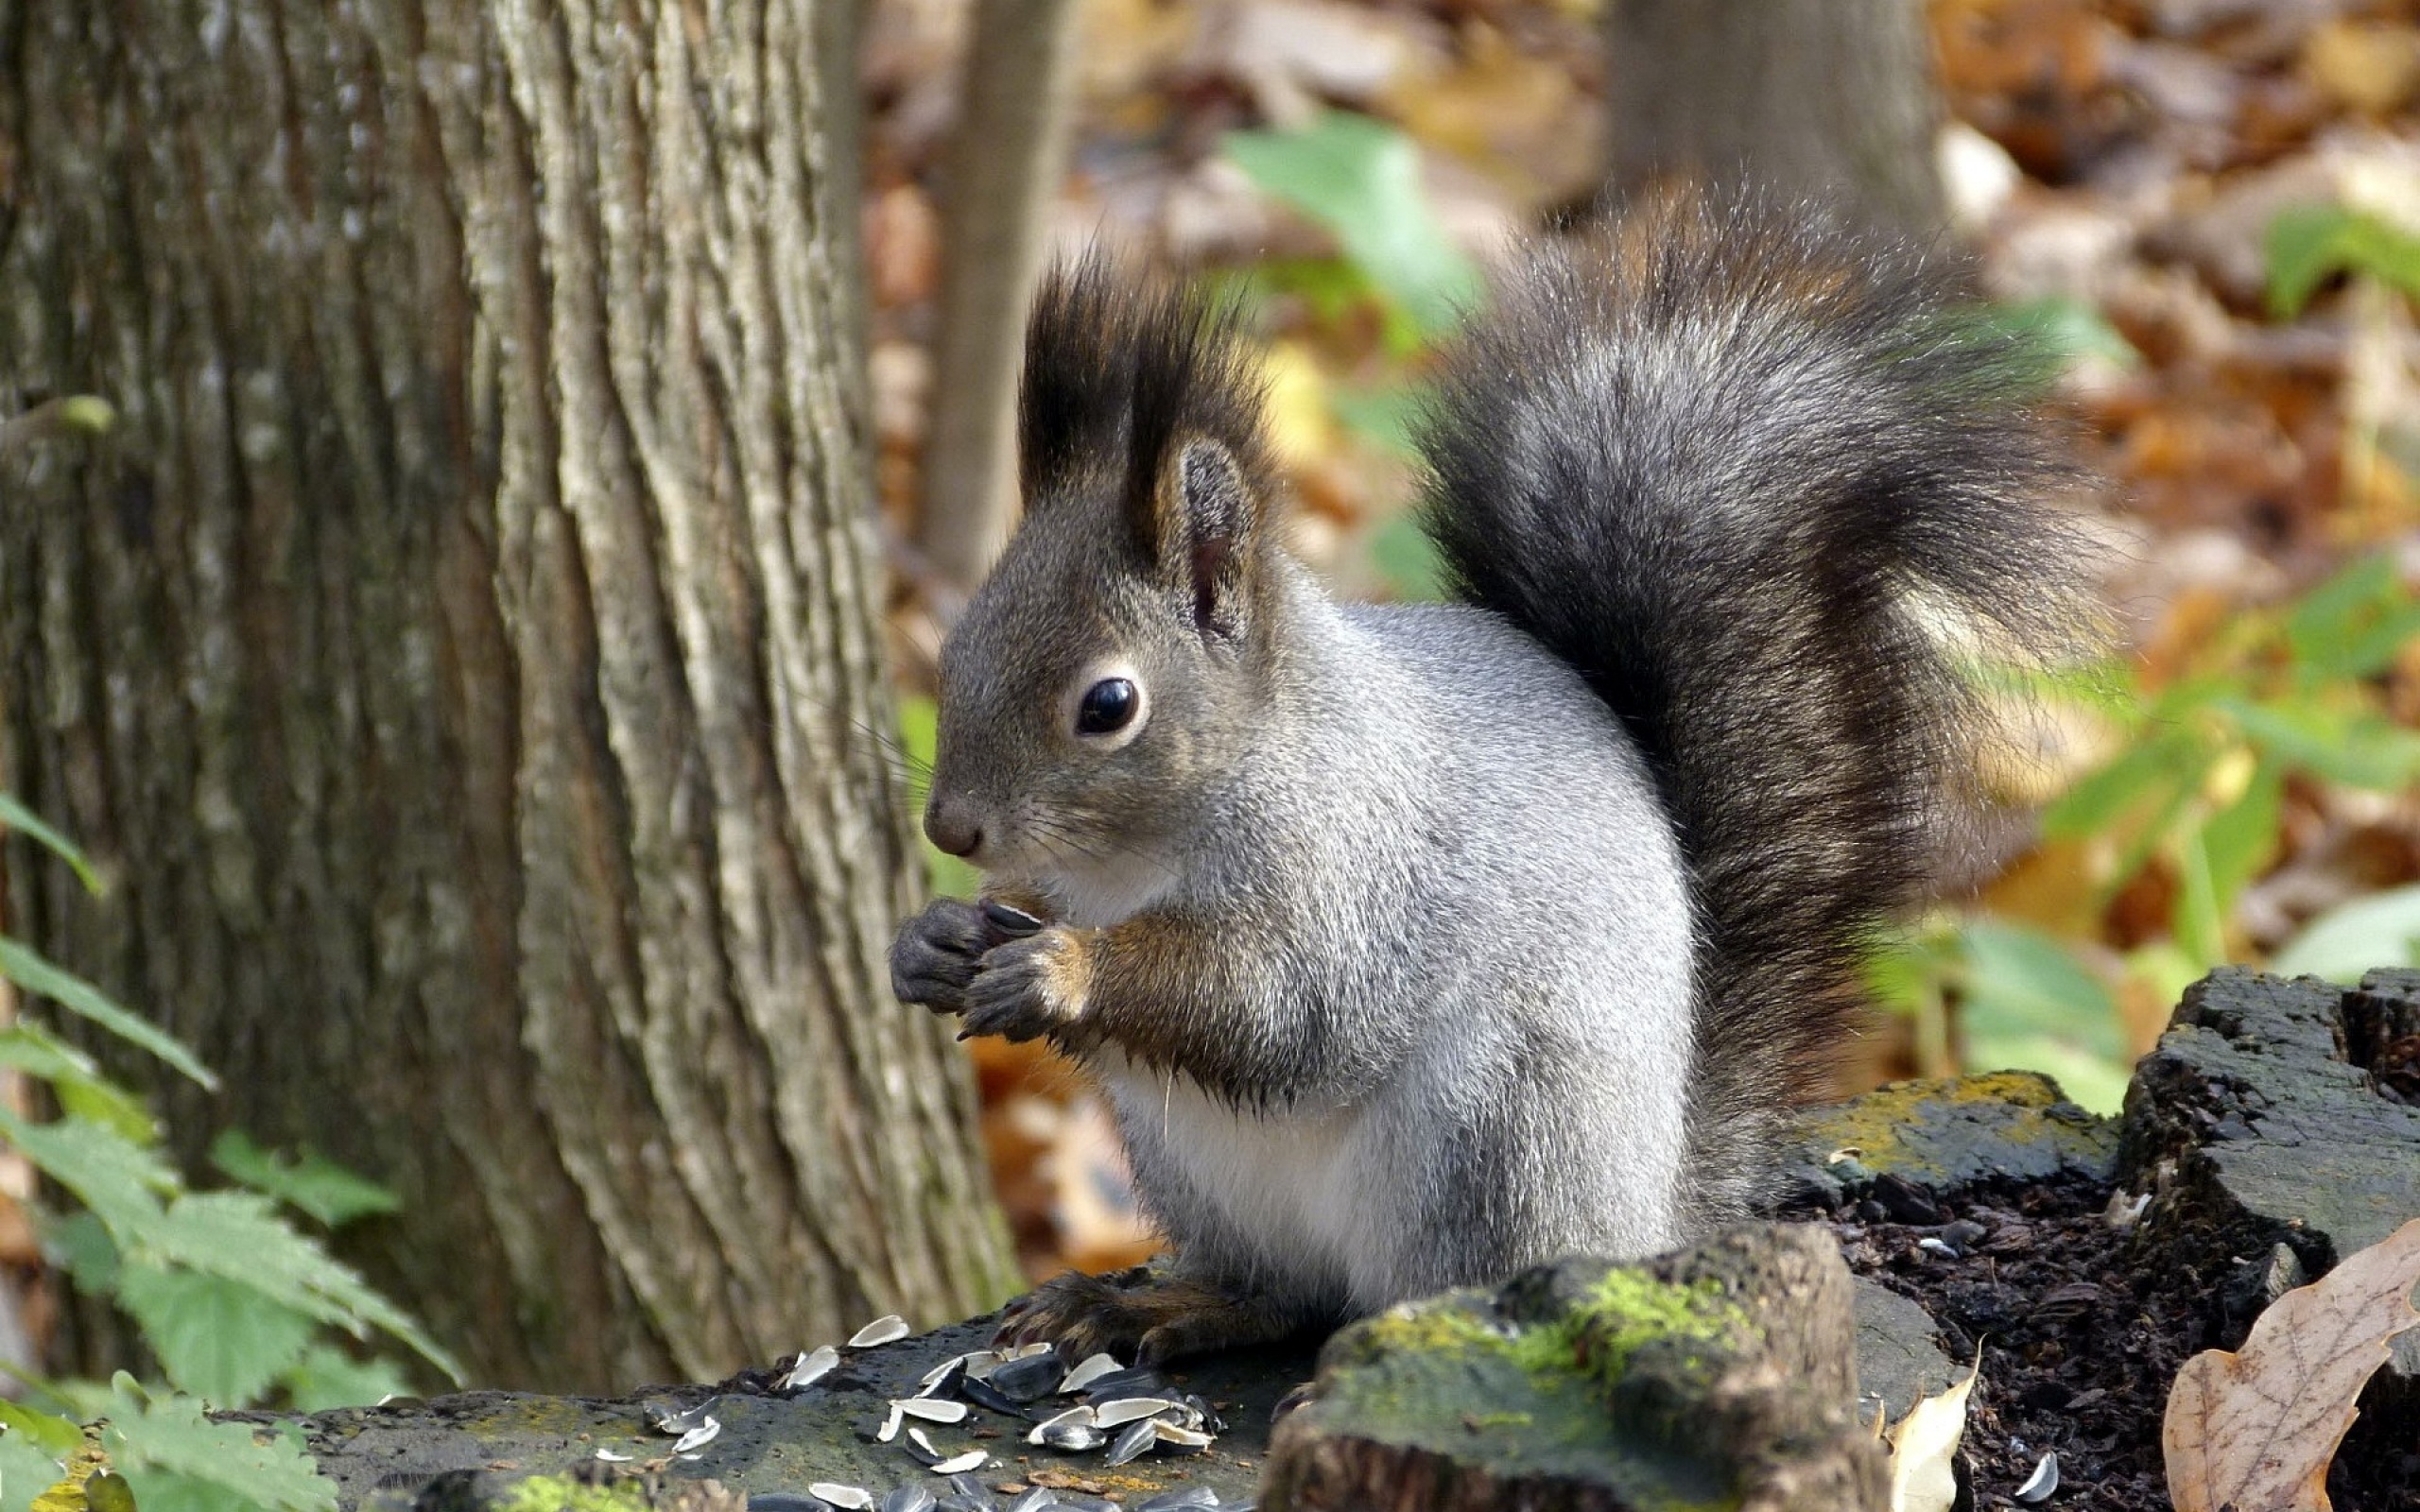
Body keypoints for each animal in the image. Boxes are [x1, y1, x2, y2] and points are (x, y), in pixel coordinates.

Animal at [890, 191, 2100, 1364]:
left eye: (1108, 705)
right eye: (958, 645)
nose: (951, 830)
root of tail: (1646, 1214)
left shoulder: (1351, 870)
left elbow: (1278, 1006)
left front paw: (1061, 968)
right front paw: (936, 942)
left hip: (1491, 1133)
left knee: (1422, 1294)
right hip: (1198, 1167)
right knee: (1284, 1294)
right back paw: (1165, 1307)